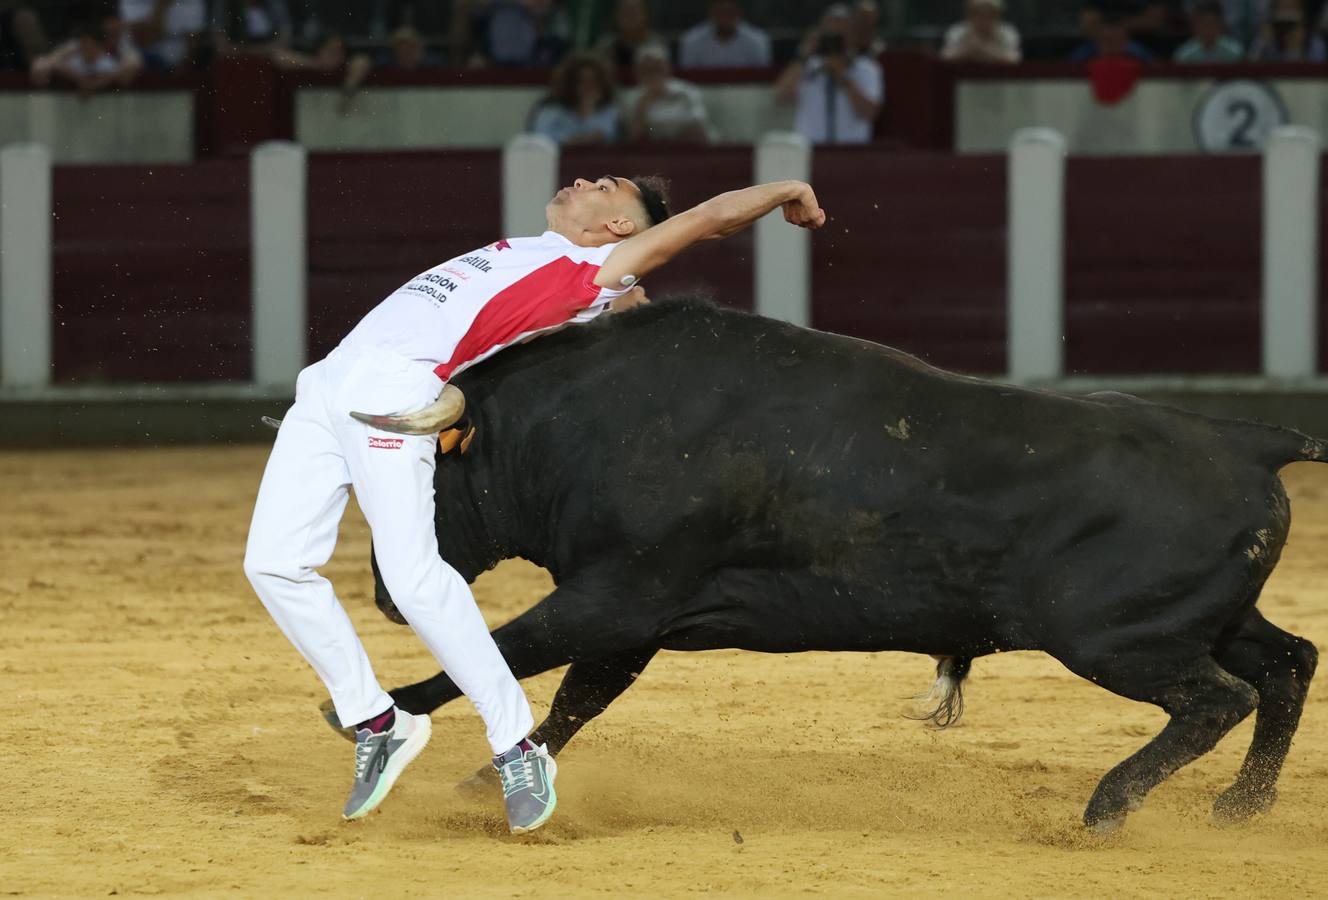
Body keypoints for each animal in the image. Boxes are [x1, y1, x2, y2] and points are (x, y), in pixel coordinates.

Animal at [345, 301, 1317, 833]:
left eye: (410, 481)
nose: (387, 595)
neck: (586, 424)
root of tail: (1247, 439)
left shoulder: (615, 599)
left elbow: (505, 655)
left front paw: (378, 722)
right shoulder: (631, 619)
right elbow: (575, 697)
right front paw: (484, 784)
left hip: (1115, 640)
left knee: (1219, 698)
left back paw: (1109, 808)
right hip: (1198, 622)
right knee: (1288, 663)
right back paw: (1241, 809)